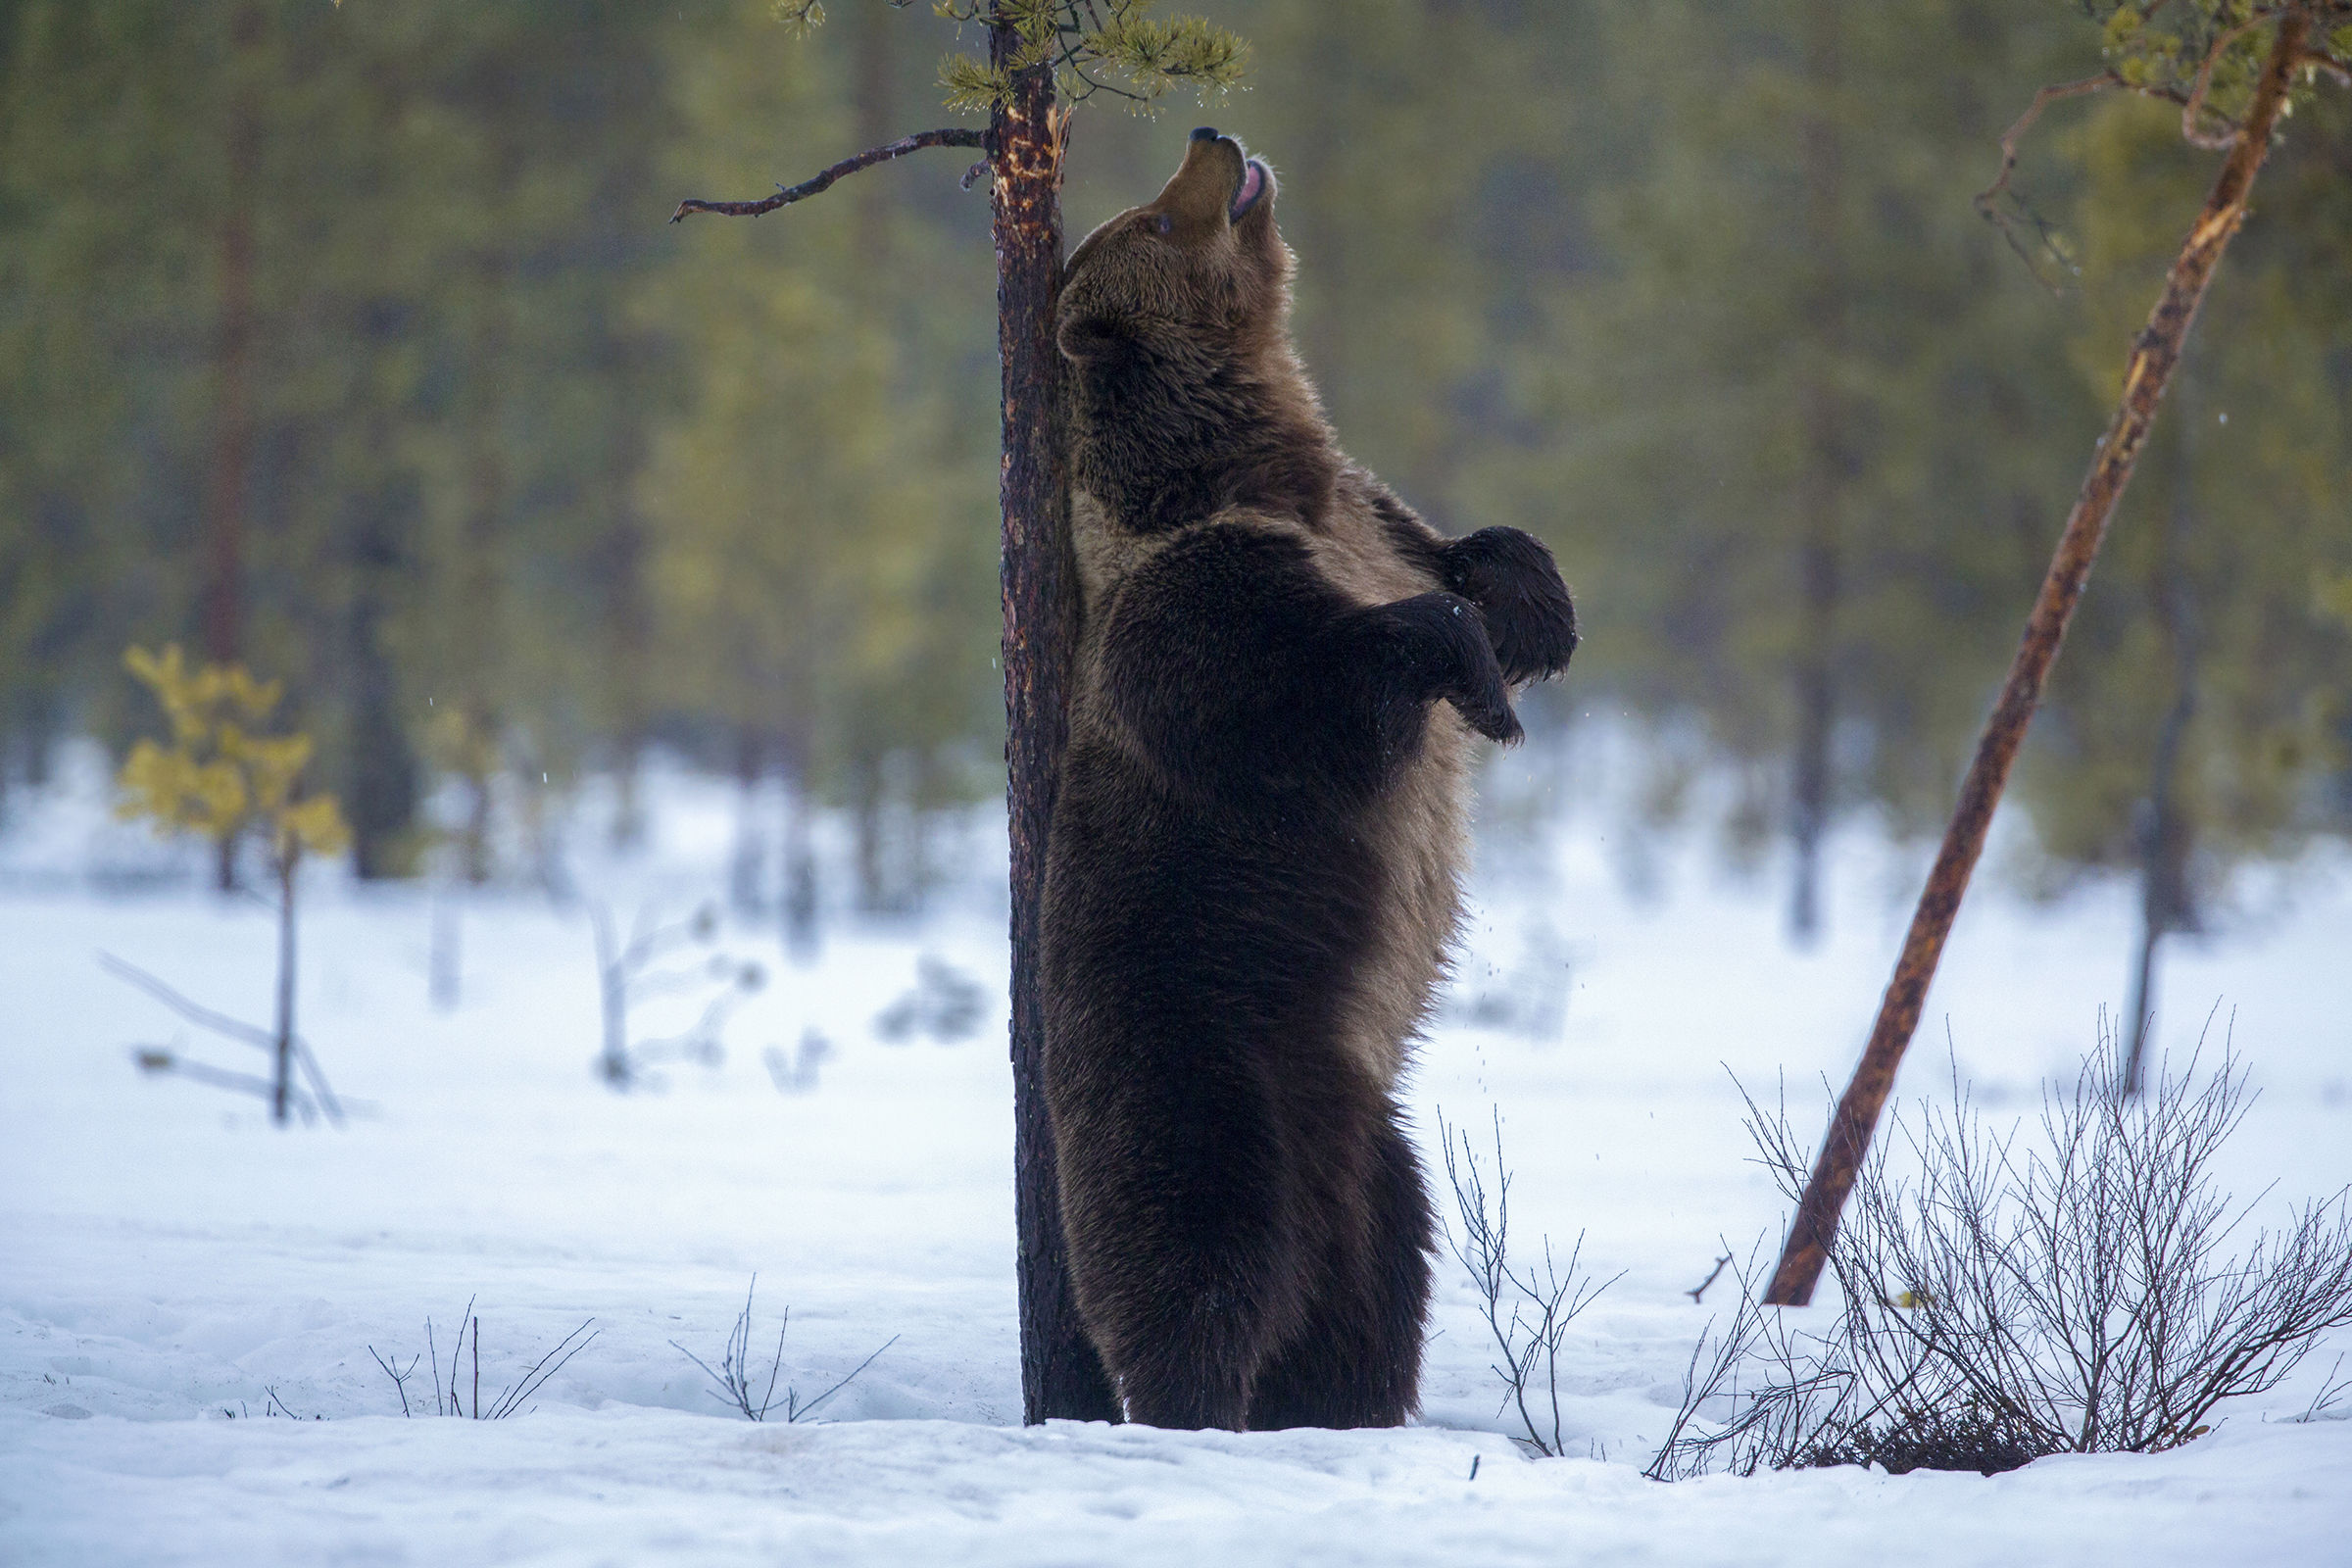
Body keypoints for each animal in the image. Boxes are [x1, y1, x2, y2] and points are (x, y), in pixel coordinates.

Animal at [1039, 128, 1578, 1432]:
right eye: (1155, 220)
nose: (1215, 139)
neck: (1236, 470)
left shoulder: (1369, 518)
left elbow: (1462, 556)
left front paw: (1536, 606)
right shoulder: (1194, 599)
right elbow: (1285, 688)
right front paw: (1478, 682)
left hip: (1371, 1149)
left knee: (1377, 1289)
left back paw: (1344, 1404)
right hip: (1191, 1059)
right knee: (1192, 1251)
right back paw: (1190, 1400)